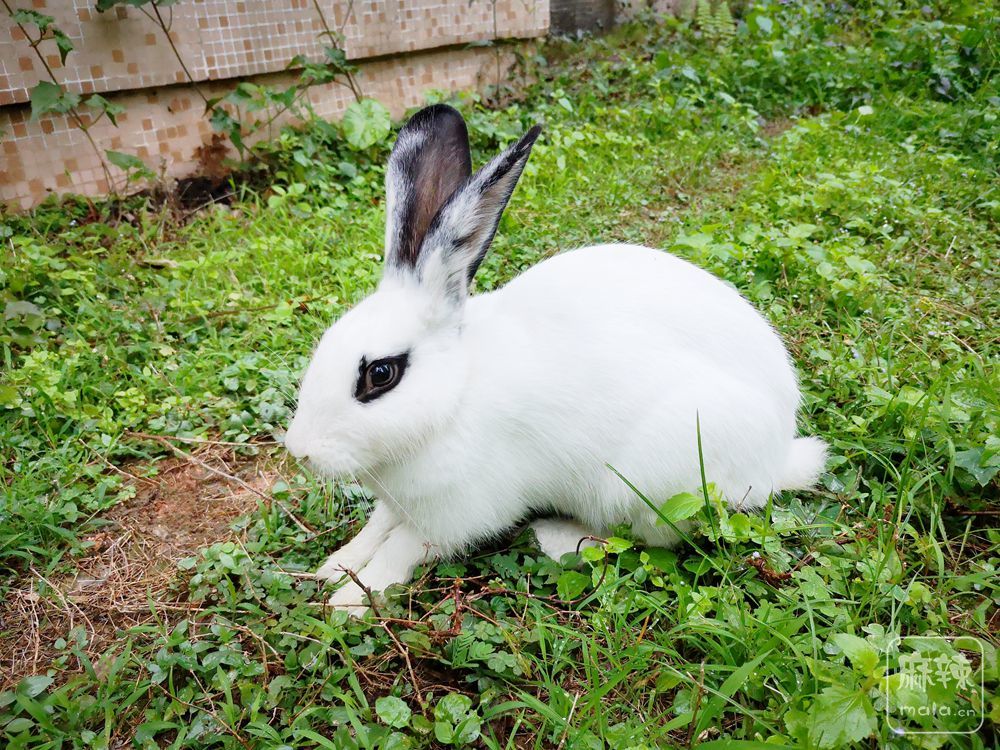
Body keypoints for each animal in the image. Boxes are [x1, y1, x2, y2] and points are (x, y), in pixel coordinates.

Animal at [284, 103, 828, 612]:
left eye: (381, 374)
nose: (300, 451)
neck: (455, 394)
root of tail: (775, 458)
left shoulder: (456, 511)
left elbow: (400, 548)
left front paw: (351, 600)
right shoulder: (400, 503)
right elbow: (376, 528)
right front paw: (334, 566)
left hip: (653, 481)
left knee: (650, 537)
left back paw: (558, 535)